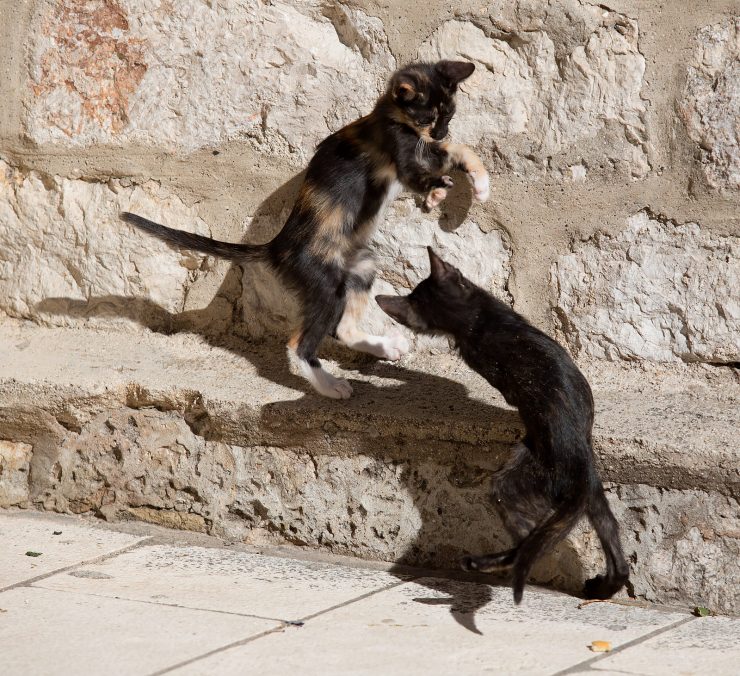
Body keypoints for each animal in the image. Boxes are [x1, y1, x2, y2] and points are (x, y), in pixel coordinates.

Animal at [122, 60, 488, 398]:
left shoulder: (425, 150)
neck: (390, 115)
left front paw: (480, 183)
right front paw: (439, 190)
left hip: (360, 266)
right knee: (299, 343)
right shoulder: (402, 155)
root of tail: (277, 246)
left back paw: (383, 347)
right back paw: (329, 385)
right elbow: (426, 169)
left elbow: (458, 149)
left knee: (343, 329)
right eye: (427, 118)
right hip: (324, 286)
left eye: (449, 116)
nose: (439, 133)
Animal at [378, 247, 628, 604]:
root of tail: (579, 466)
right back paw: (601, 586)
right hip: (588, 493)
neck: (476, 321)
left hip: (514, 483)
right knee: (607, 551)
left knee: (530, 545)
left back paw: (481, 564)